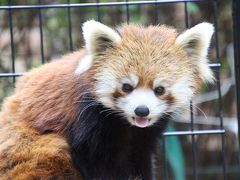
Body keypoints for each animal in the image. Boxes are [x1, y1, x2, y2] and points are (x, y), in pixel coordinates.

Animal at [0, 20, 214, 179]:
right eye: (127, 87)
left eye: (159, 90)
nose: (141, 110)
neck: (126, 124)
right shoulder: (87, 121)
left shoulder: (145, 136)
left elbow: (140, 157)